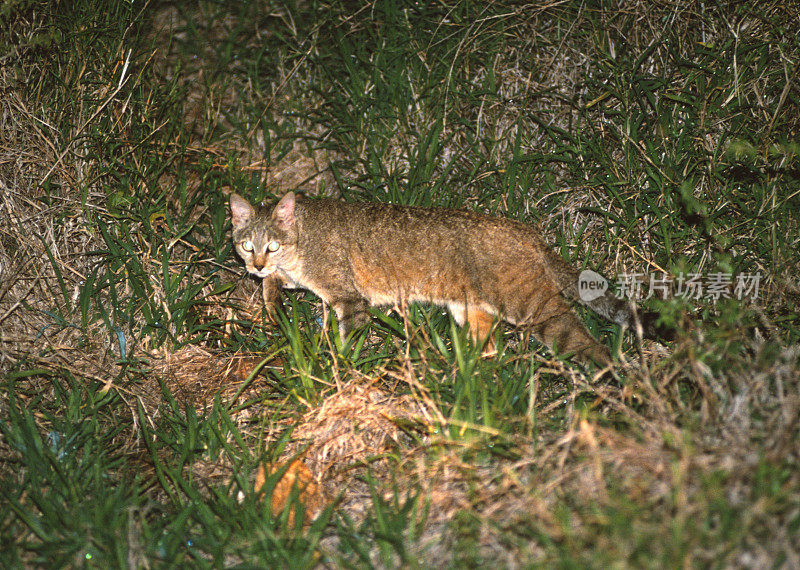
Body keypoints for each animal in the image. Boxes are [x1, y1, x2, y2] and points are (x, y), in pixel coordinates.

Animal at [230, 192, 668, 364]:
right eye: (247, 245)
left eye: (272, 245)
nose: (257, 265)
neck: (303, 238)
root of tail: (530, 234)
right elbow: (275, 286)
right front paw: (271, 302)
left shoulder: (348, 298)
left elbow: (349, 338)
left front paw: (342, 364)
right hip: (470, 310)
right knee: (490, 347)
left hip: (533, 307)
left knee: (589, 343)